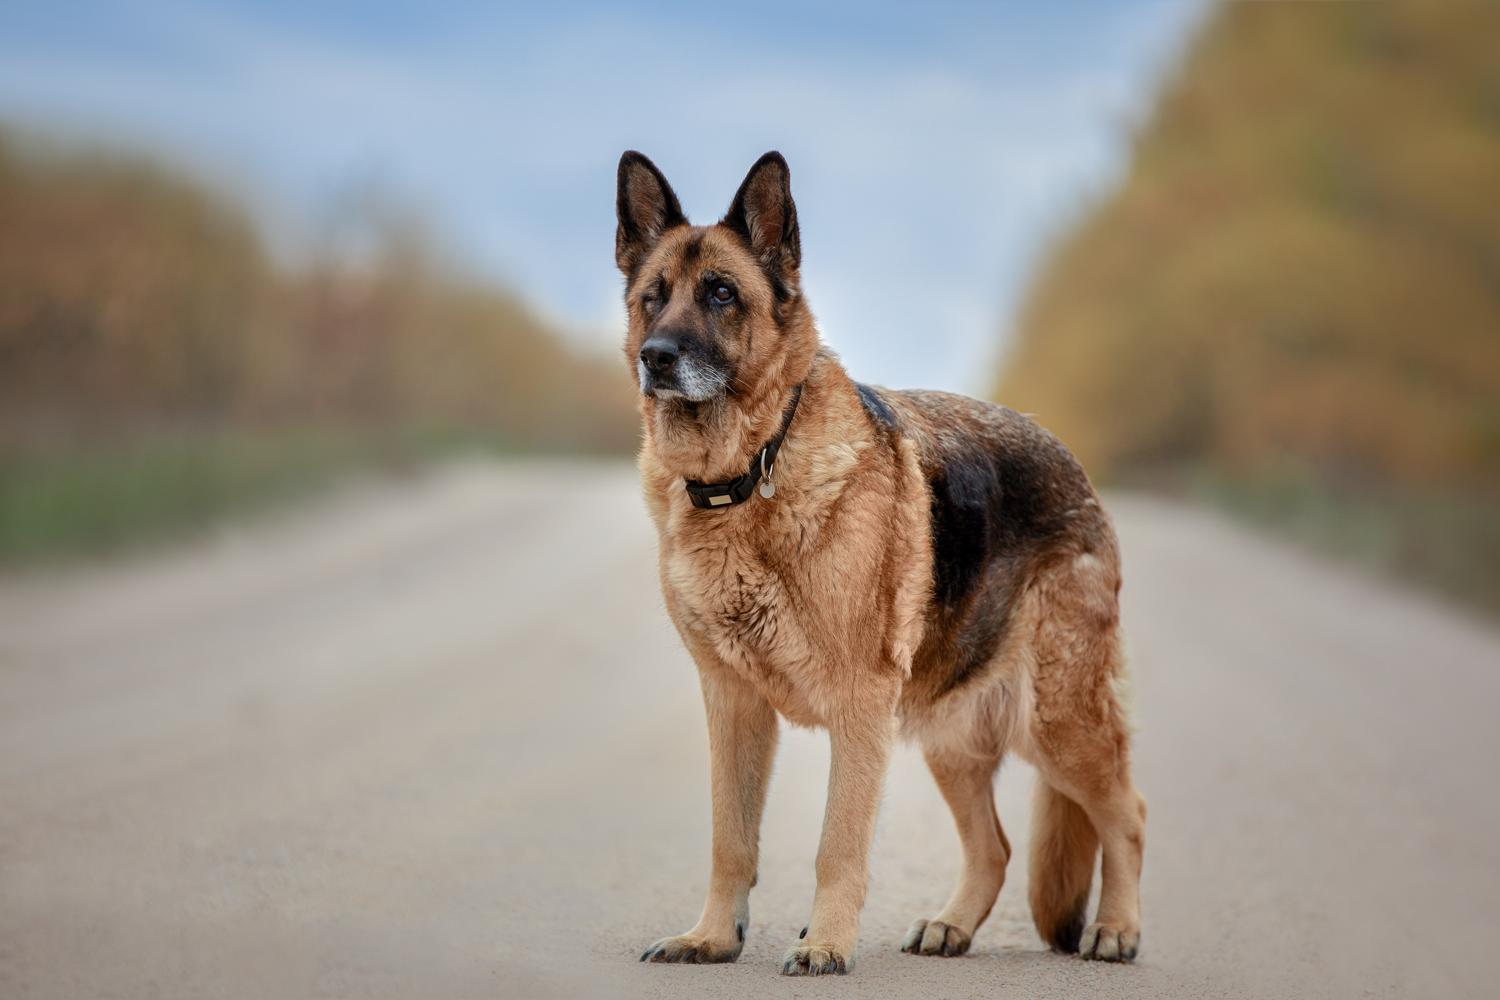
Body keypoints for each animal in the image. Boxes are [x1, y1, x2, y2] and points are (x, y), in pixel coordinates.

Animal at [615, 150, 1140, 977]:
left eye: (722, 294)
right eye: (653, 297)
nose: (656, 359)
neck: (752, 468)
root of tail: (1070, 462)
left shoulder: (857, 710)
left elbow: (838, 844)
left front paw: (825, 943)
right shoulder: (732, 703)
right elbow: (731, 841)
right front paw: (712, 937)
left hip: (1059, 722)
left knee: (1126, 813)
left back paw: (1117, 928)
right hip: (951, 733)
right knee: (995, 847)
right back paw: (950, 926)